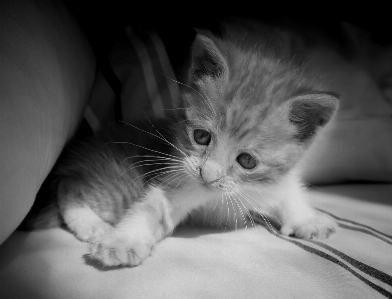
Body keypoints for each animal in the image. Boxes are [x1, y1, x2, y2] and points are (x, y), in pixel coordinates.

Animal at [29, 23, 338, 268]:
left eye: (247, 161)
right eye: (201, 137)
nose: (207, 175)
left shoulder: (274, 180)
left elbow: (289, 191)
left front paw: (308, 220)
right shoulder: (178, 180)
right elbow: (150, 208)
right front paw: (122, 241)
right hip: (116, 188)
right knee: (67, 186)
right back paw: (92, 225)